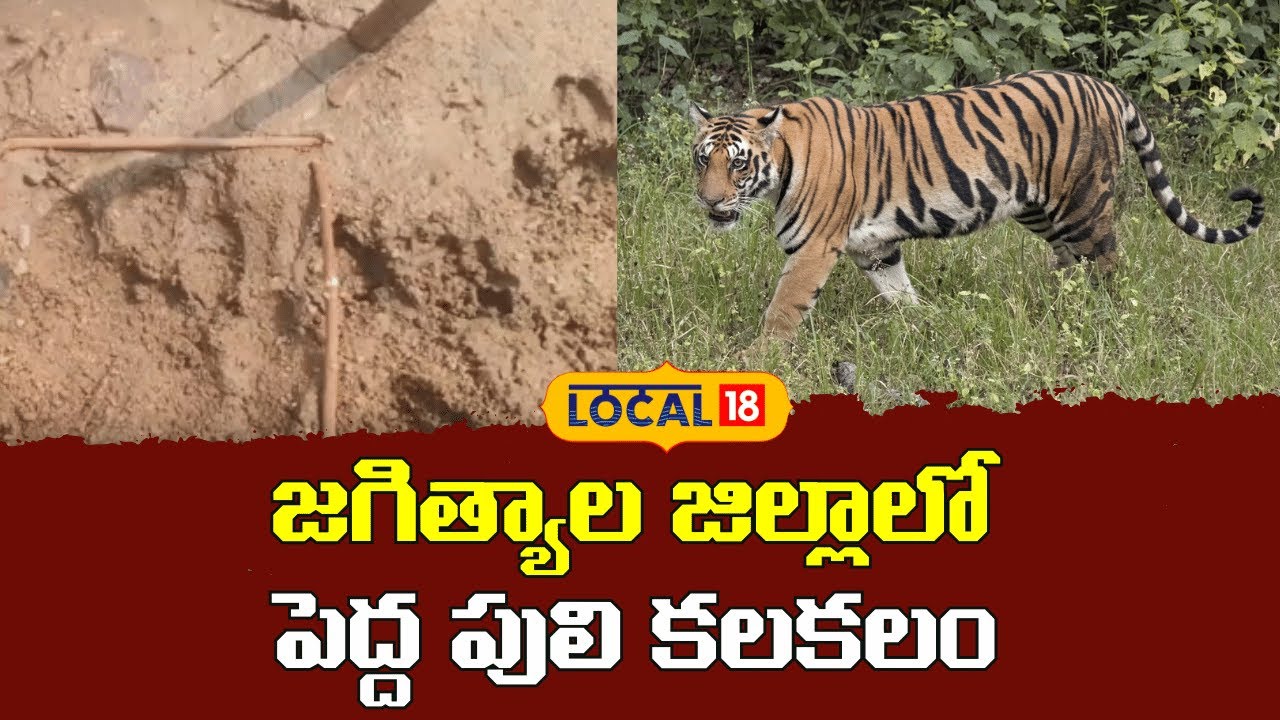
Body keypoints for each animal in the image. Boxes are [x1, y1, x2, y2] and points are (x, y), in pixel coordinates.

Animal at [687, 70, 1265, 345]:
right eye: (701, 160)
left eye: (738, 164)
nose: (709, 201)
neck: (782, 164)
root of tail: (1104, 86)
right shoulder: (875, 247)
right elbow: (899, 292)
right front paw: (924, 324)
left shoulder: (812, 249)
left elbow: (783, 309)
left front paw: (758, 361)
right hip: (1040, 208)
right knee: (1068, 262)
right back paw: (1057, 307)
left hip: (1083, 204)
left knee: (1107, 264)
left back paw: (1102, 318)